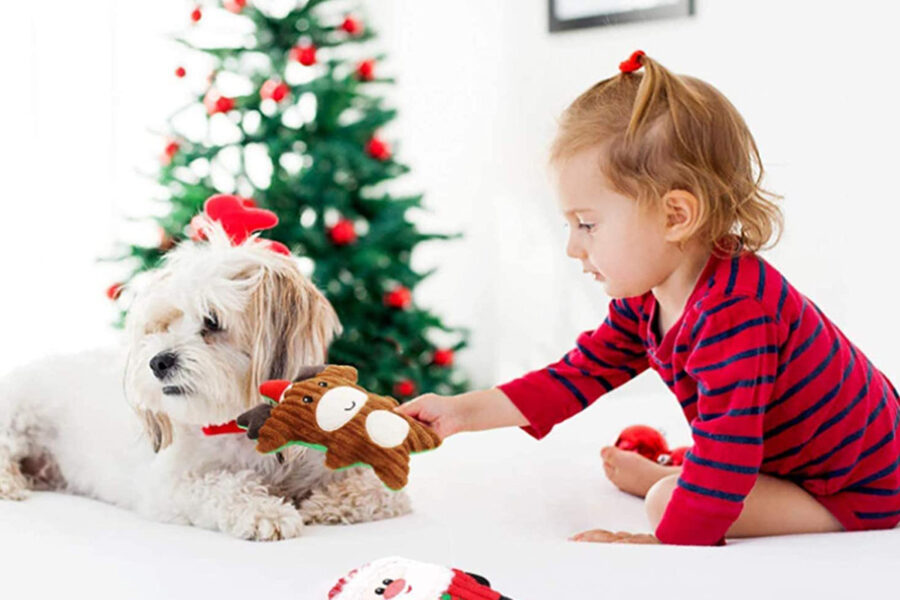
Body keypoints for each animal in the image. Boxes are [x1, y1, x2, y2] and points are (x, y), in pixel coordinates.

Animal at [0, 220, 412, 540]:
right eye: (161, 326)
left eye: (211, 321)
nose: (157, 361)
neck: (234, 422)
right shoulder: (170, 486)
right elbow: (224, 486)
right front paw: (267, 512)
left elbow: (385, 492)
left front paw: (325, 503)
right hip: (18, 416)